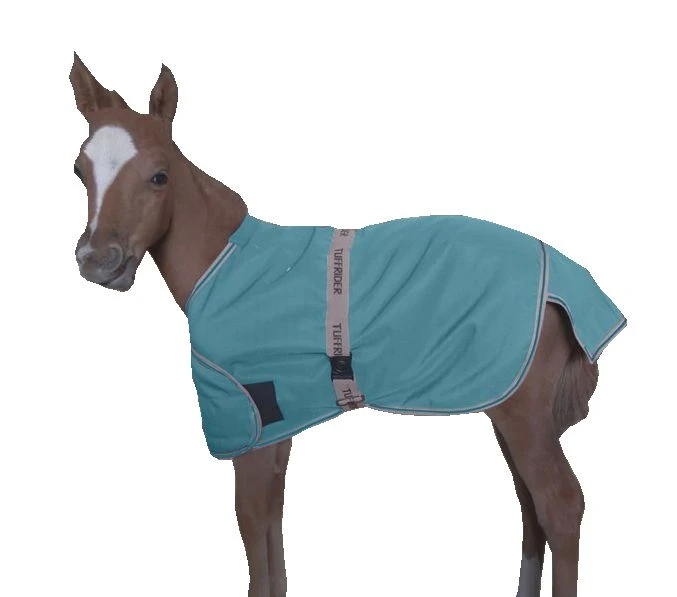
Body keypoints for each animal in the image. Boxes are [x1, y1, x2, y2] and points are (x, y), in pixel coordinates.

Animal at [69, 54, 625, 597]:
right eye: (80, 169)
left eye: (159, 176)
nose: (99, 261)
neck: (225, 266)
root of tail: (568, 282)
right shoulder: (278, 424)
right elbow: (272, 522)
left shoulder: (248, 426)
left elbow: (252, 524)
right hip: (506, 407)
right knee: (531, 505)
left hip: (524, 416)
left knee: (559, 504)